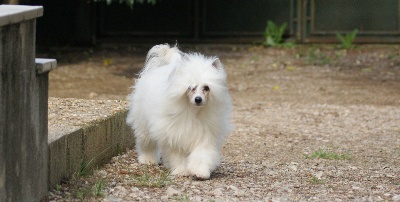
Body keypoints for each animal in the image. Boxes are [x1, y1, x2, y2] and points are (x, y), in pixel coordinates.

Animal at [126, 43, 233, 178]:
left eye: (206, 87)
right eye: (191, 87)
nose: (198, 99)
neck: (193, 111)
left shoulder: (205, 135)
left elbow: (201, 154)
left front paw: (199, 171)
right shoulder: (174, 134)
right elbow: (178, 155)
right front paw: (181, 171)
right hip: (143, 123)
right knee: (146, 142)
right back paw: (147, 159)